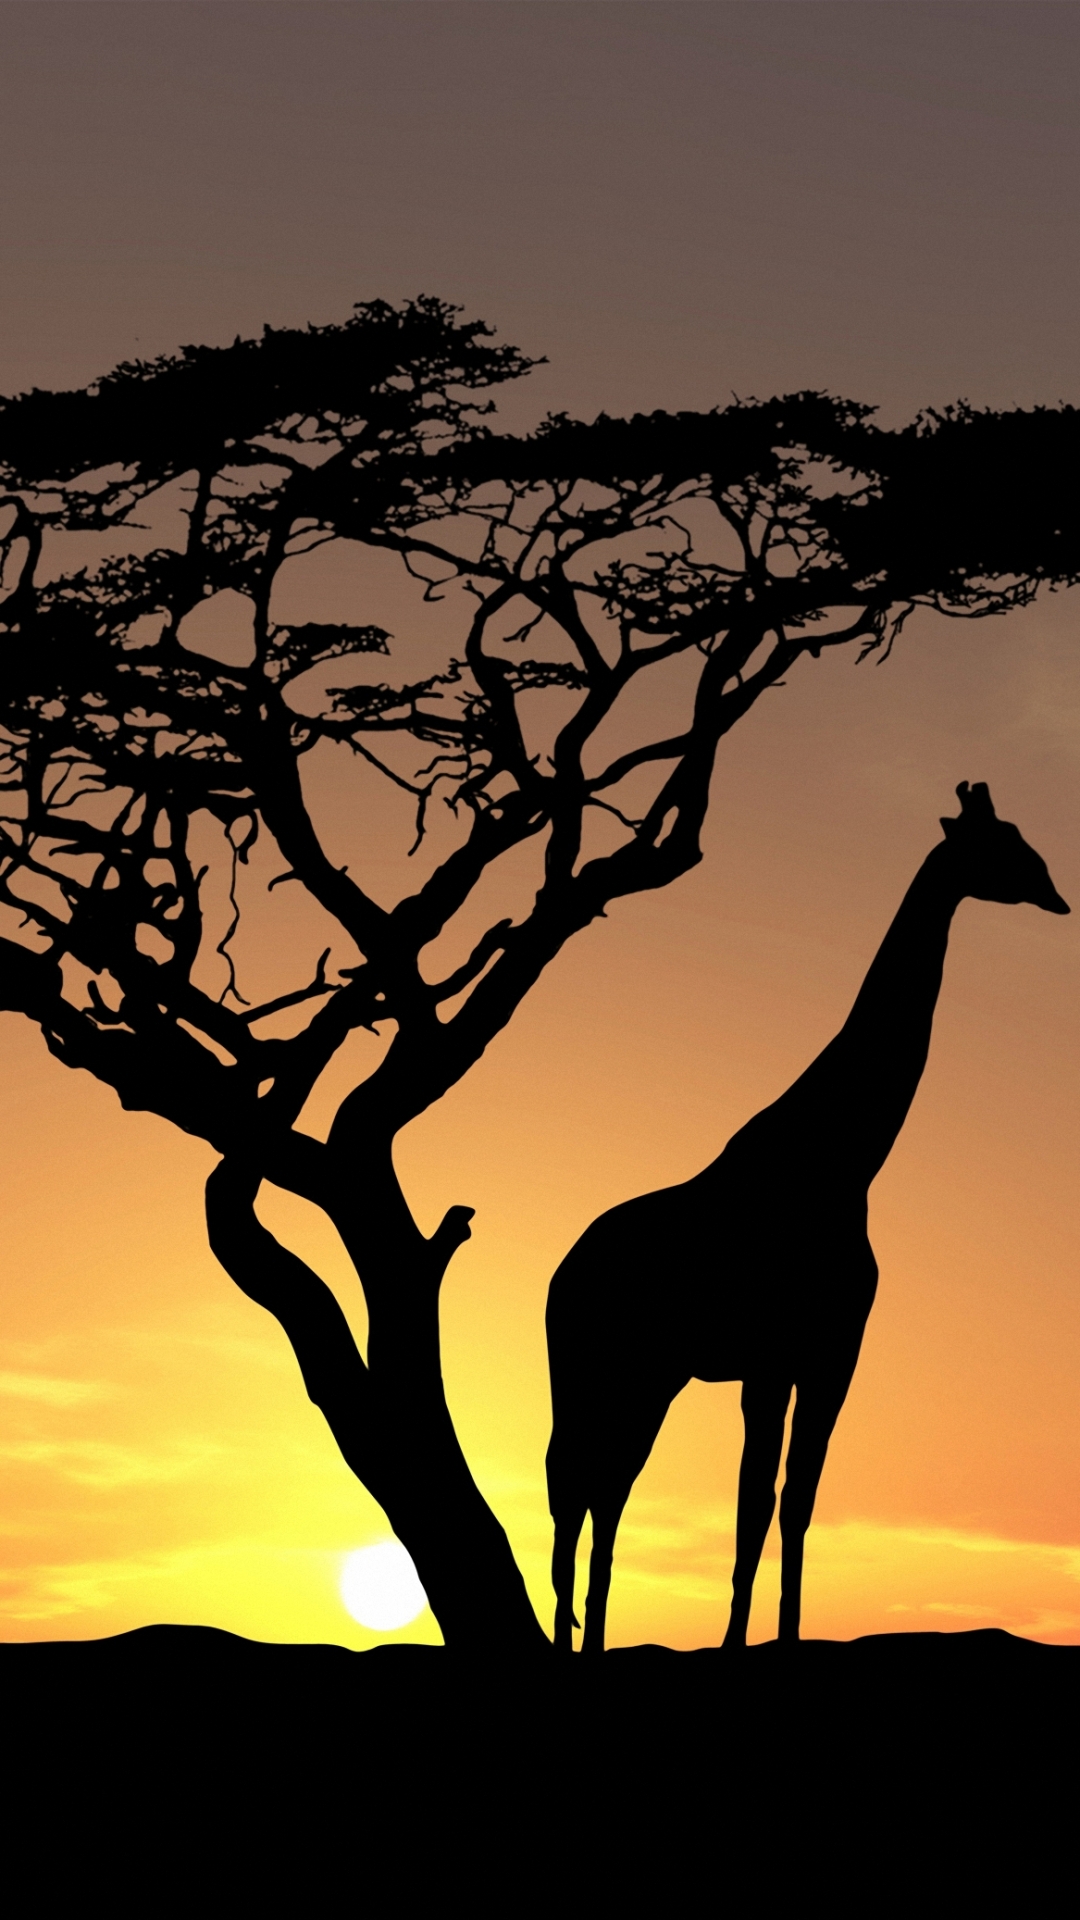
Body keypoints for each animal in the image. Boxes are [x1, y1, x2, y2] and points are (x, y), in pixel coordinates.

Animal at [545, 783, 1069, 1653]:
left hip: (648, 1377)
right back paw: (571, 1638)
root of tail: (560, 1275)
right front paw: (733, 1643)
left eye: (1025, 841)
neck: (844, 1162)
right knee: (577, 1482)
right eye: (1001, 846)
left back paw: (586, 1636)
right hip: (600, 1367)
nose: (1058, 895)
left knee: (602, 1485)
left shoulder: (829, 1352)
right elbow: (754, 1500)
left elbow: (797, 1500)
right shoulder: (771, 1357)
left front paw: (784, 1636)